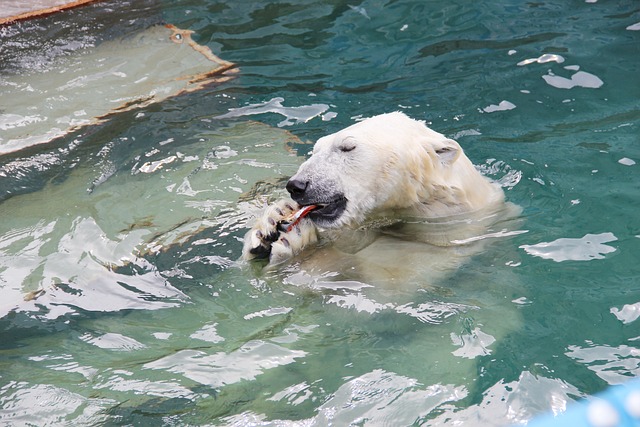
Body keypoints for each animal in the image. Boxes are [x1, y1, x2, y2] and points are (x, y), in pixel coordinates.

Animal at [242, 112, 512, 276]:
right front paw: (270, 224)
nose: (297, 185)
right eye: (315, 149)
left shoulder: (443, 244)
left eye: (347, 147)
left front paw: (296, 242)